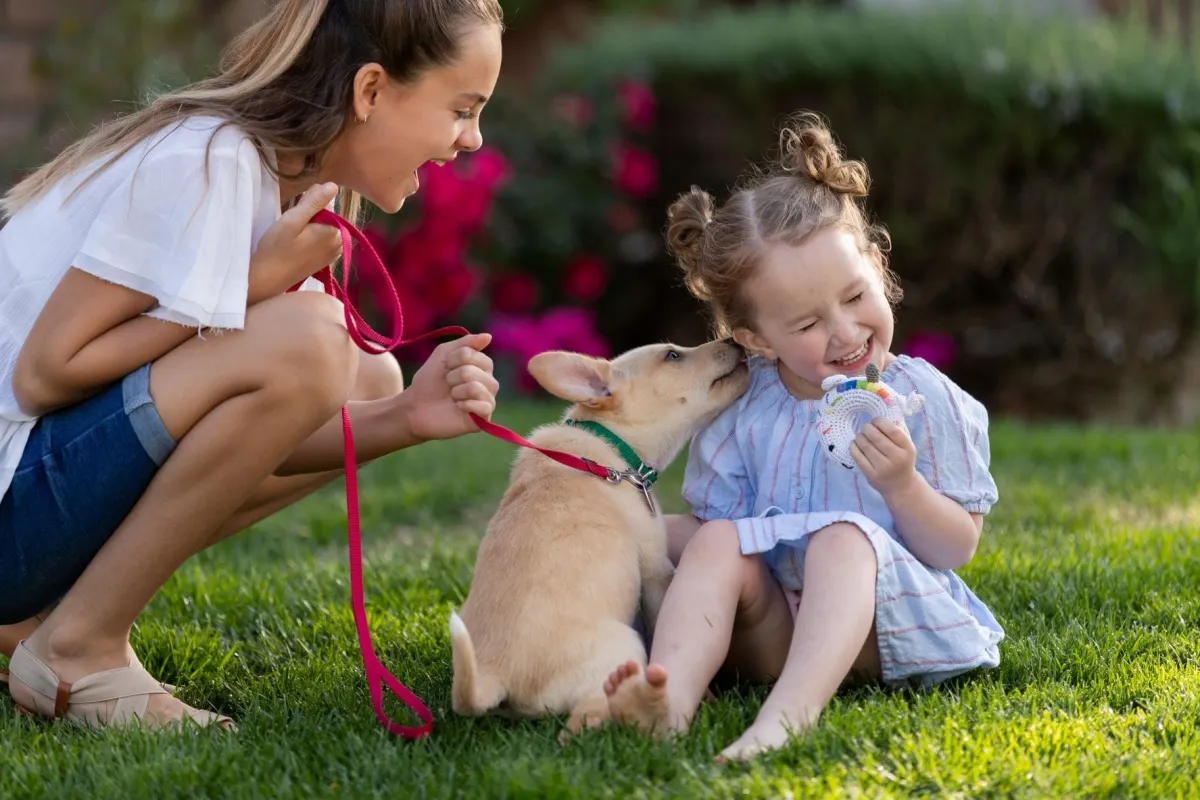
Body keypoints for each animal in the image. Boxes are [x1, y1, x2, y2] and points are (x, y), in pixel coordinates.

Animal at [451, 338, 748, 738]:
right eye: (672, 355)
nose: (733, 340)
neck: (614, 447)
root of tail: (492, 675)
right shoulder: (655, 568)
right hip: (623, 645)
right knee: (577, 726)